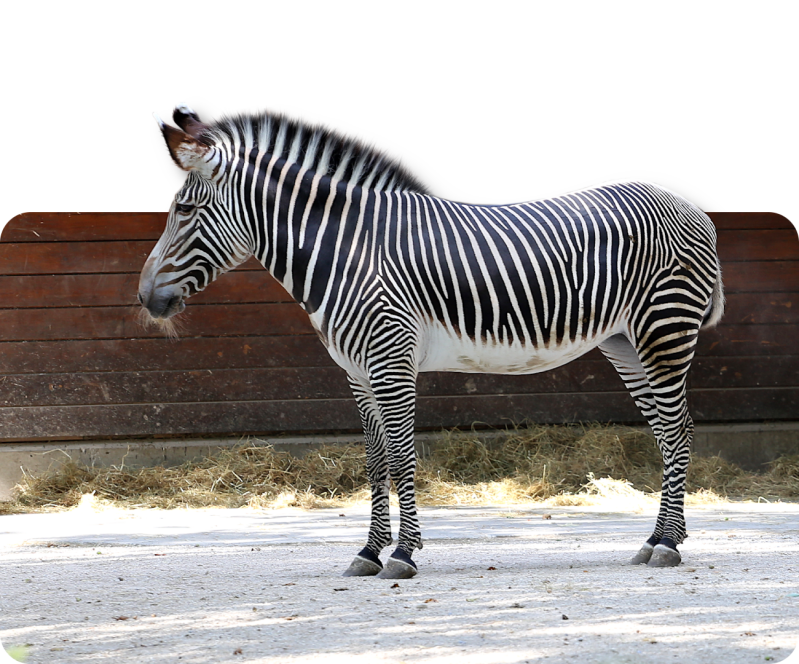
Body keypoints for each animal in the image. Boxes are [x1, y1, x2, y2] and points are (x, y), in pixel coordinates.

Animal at [139, 102, 725, 579]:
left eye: (184, 211)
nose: (145, 297)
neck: (348, 251)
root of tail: (690, 205)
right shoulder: (356, 372)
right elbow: (376, 463)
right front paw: (367, 553)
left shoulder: (390, 359)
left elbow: (402, 458)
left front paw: (402, 554)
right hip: (626, 342)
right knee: (666, 431)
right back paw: (657, 539)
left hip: (664, 329)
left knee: (678, 430)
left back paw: (668, 545)